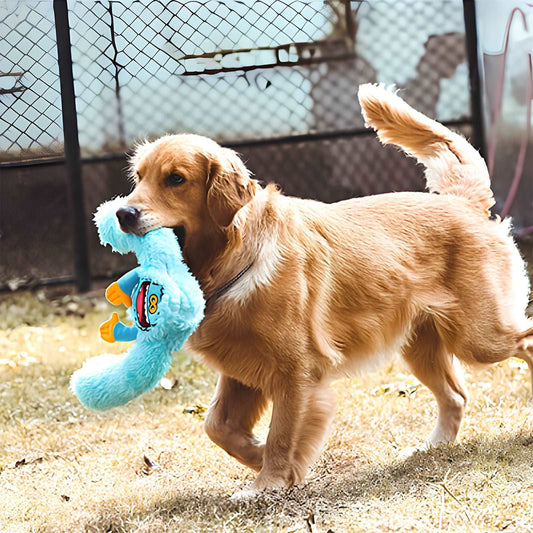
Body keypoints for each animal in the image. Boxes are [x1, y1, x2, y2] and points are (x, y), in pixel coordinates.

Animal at [114, 85, 528, 496]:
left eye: (176, 179)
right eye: (138, 178)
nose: (122, 214)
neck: (234, 259)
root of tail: (462, 203)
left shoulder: (295, 371)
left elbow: (282, 434)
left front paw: (269, 481)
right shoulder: (241, 368)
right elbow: (217, 426)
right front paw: (259, 457)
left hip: (479, 337)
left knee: (525, 340)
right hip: (421, 345)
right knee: (456, 396)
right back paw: (432, 447)